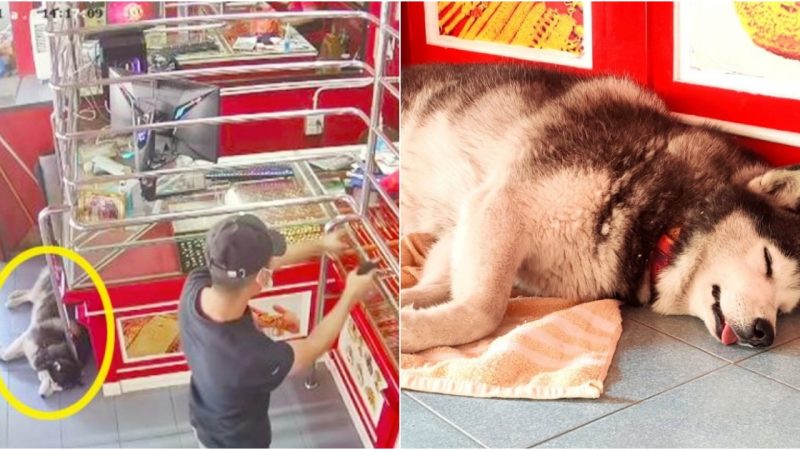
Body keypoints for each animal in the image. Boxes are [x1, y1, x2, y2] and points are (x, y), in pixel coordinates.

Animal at [1, 268, 83, 396]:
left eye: (58, 389)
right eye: (51, 381)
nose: (43, 396)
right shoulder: (27, 339)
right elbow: (7, 355)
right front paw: (3, 353)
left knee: (30, 296)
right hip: (41, 292)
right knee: (30, 295)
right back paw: (13, 301)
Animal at [404, 63, 800, 354]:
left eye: (784, 309)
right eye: (767, 262)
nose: (765, 333)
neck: (665, 222)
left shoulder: (469, 223)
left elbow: (443, 282)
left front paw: (408, 304)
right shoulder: (501, 202)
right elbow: (484, 309)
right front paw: (411, 330)